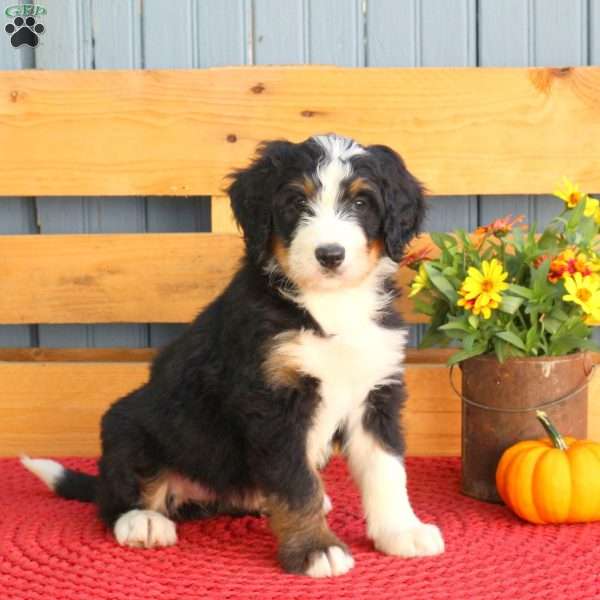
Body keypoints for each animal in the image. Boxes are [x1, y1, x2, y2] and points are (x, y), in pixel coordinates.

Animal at [23, 135, 442, 576]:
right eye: (296, 201)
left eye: (361, 202)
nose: (330, 255)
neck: (331, 305)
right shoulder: (273, 404)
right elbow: (296, 484)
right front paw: (316, 548)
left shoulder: (375, 391)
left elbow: (386, 469)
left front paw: (402, 532)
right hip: (128, 425)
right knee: (116, 497)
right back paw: (143, 521)